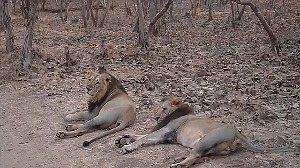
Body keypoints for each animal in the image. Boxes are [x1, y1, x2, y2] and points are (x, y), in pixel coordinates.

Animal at [115, 95, 298, 167]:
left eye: (164, 108)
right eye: (157, 109)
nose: (156, 118)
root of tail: (238, 133)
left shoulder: (166, 132)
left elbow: (143, 138)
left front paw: (128, 147)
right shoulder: (166, 135)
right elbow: (140, 135)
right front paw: (122, 138)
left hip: (205, 140)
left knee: (195, 156)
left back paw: (179, 164)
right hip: (211, 148)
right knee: (200, 158)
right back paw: (179, 158)